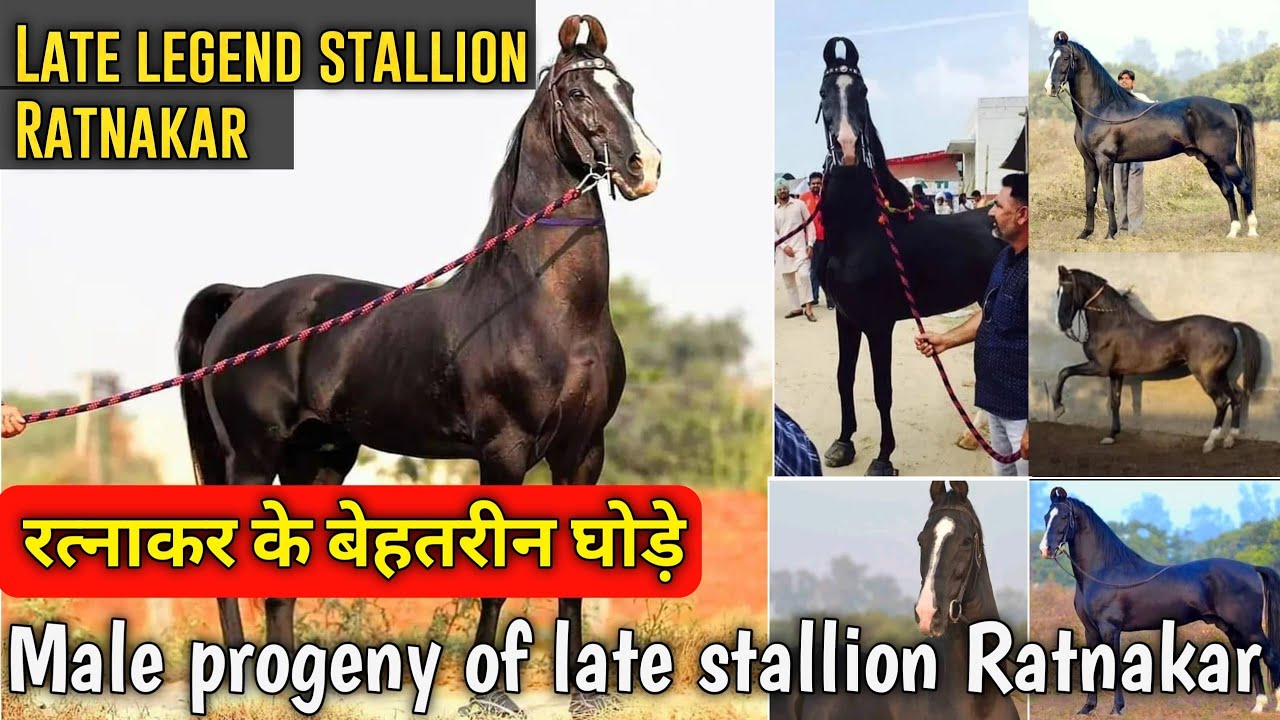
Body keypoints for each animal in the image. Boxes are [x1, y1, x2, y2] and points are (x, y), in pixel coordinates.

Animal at [176, 15, 660, 719]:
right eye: (577, 94)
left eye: (627, 88)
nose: (643, 166)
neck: (547, 308)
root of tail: (245, 298)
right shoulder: (504, 452)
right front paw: (494, 700)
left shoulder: (583, 452)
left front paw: (584, 696)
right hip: (251, 459)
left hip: (317, 461)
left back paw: (290, 689)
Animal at [814, 37, 1009, 475]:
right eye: (823, 93)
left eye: (863, 92)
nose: (847, 148)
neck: (864, 229)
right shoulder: (846, 320)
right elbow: (843, 378)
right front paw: (843, 443)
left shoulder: (878, 324)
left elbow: (881, 390)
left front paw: (883, 458)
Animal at [1038, 486, 1280, 715]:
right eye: (1046, 516)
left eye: (1063, 516)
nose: (1045, 549)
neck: (1104, 571)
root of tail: (1251, 568)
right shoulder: (1091, 630)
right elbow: (1094, 666)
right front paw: (1087, 708)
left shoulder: (1110, 628)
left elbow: (1113, 666)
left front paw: (1117, 708)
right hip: (1232, 628)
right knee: (1253, 657)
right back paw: (1258, 706)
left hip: (1248, 626)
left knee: (1269, 654)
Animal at [1044, 30, 1258, 240]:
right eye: (1050, 58)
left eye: (1065, 58)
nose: (1050, 88)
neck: (1102, 109)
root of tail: (1227, 105)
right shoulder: (1088, 162)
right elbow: (1090, 198)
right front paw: (1085, 233)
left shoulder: (1104, 161)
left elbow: (1109, 198)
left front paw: (1110, 234)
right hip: (1210, 161)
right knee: (1228, 190)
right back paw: (1233, 231)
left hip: (1226, 160)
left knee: (1244, 185)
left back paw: (1252, 230)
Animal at [1051, 266, 1263, 453]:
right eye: (1057, 291)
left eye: (1068, 290)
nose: (1061, 324)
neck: (1112, 324)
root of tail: (1228, 325)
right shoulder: (1115, 373)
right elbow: (1115, 402)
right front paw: (1111, 435)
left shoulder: (1099, 368)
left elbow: (1064, 372)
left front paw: (1058, 407)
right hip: (1221, 375)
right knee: (1236, 398)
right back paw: (1230, 439)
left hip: (1207, 376)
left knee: (1222, 401)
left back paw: (1209, 443)